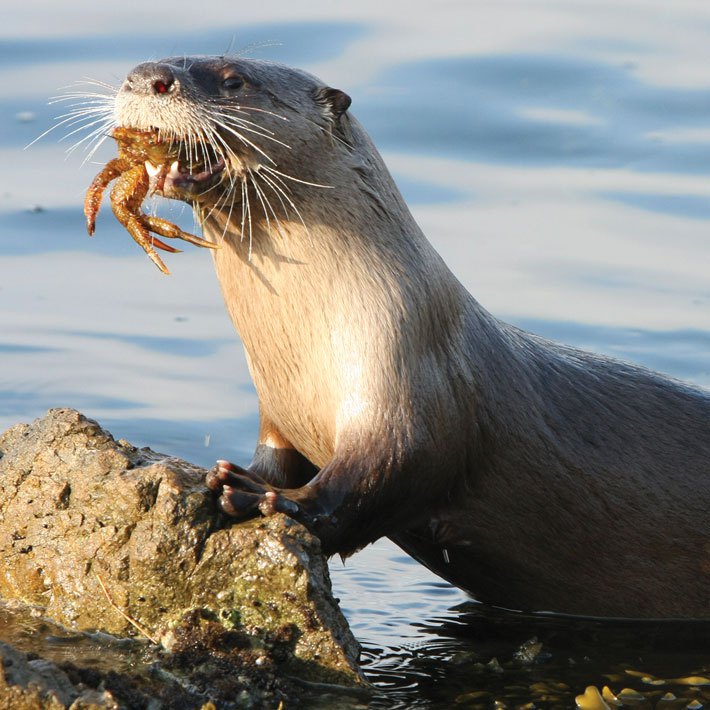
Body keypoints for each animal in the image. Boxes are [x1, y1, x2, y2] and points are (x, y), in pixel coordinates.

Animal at [112, 57, 710, 624]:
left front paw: (261, 496)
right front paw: (224, 476)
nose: (147, 77)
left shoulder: (408, 386)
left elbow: (372, 483)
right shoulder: (278, 409)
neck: (314, 343)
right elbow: (279, 456)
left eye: (234, 80)